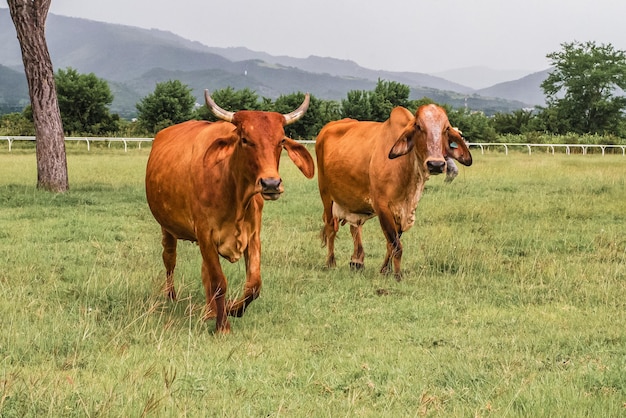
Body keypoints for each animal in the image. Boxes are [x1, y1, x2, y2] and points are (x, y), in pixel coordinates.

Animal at [316, 104, 468, 280]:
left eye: (446, 128)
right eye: (418, 126)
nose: (436, 164)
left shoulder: (402, 212)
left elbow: (392, 242)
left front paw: (385, 270)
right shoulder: (382, 206)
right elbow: (396, 244)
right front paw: (397, 275)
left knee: (355, 227)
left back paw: (357, 261)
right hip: (326, 195)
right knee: (331, 228)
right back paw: (330, 263)